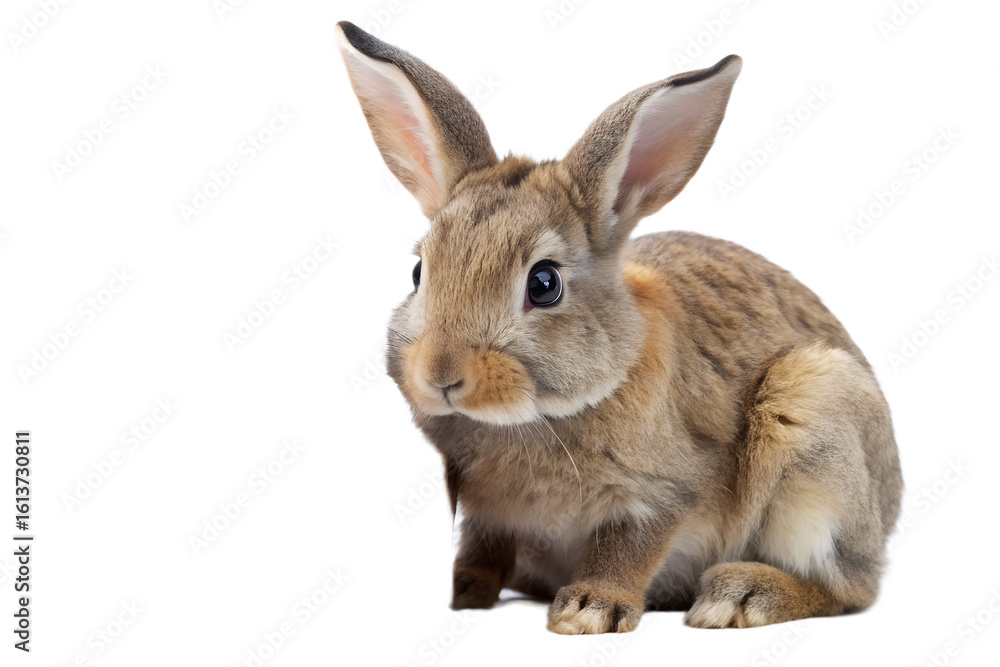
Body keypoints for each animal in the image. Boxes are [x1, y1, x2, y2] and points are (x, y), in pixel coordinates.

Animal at [335, 20, 902, 634]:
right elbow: (482, 551)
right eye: (419, 272)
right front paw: (464, 593)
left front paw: (587, 611)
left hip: (813, 428)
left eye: (544, 284)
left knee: (851, 588)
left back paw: (740, 596)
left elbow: (628, 547)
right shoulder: (488, 519)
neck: (535, 418)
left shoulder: (664, 494)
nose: (441, 375)